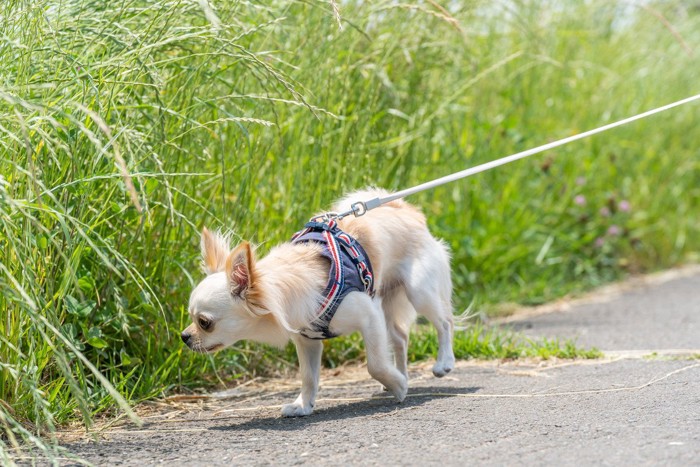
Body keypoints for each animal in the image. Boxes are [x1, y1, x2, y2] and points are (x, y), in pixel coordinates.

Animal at [182, 188, 454, 418]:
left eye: (204, 322)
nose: (184, 336)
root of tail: (405, 209)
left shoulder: (369, 316)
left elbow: (375, 364)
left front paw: (399, 386)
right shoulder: (307, 340)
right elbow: (309, 377)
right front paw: (303, 405)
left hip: (418, 291)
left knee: (444, 323)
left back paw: (443, 362)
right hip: (387, 301)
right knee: (400, 338)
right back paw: (401, 371)